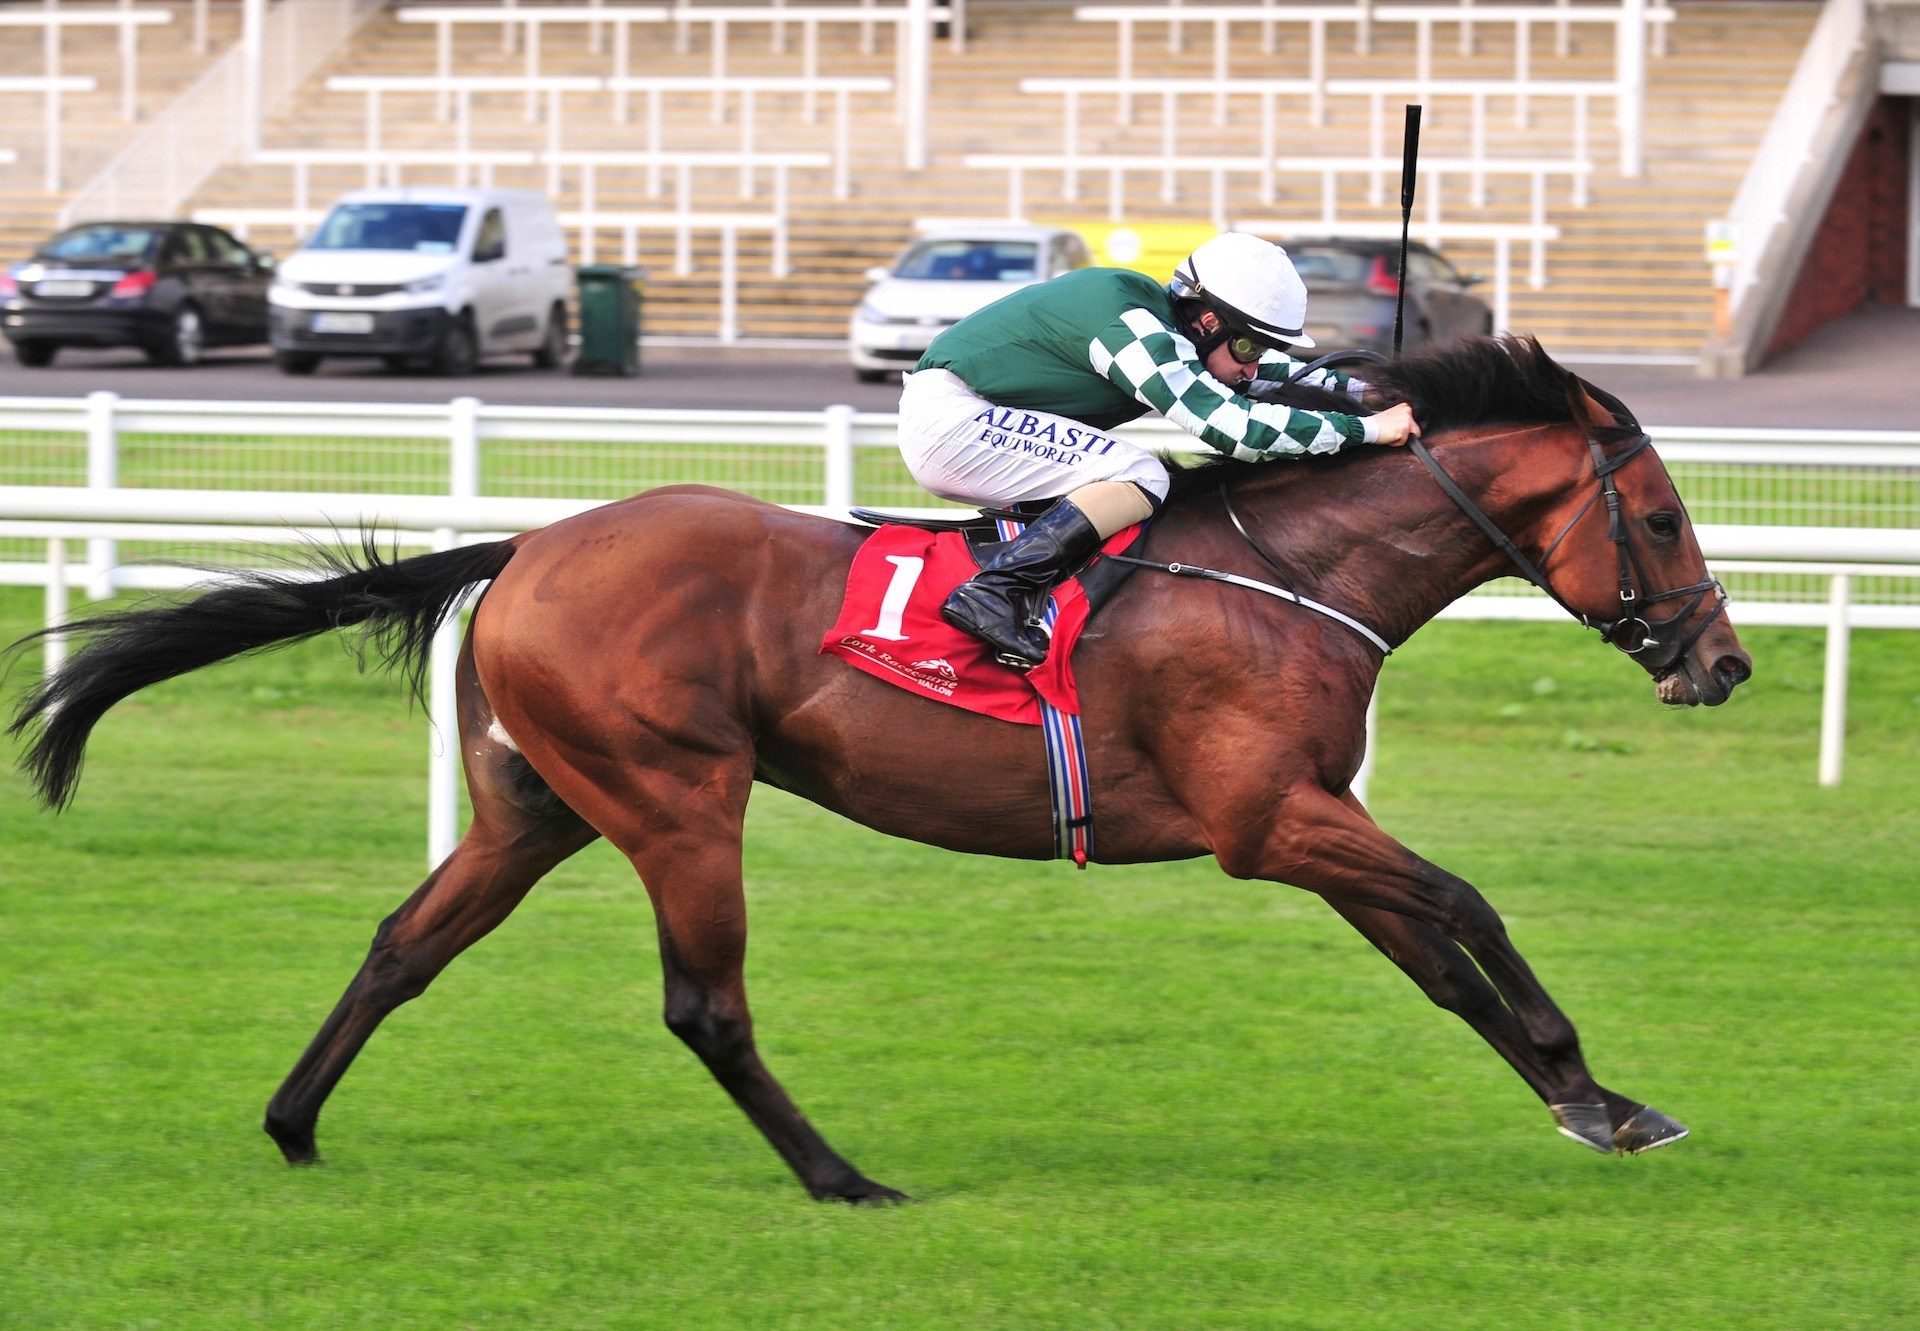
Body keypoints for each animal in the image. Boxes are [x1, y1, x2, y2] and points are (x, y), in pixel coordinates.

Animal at [11, 334, 1758, 1206]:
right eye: (1664, 515)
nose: (1725, 663)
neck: (1287, 573)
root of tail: (528, 547)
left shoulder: (1312, 813)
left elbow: (1444, 962)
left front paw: (1596, 1101)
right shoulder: (1272, 820)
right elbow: (1473, 907)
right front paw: (1591, 1080)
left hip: (537, 806)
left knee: (402, 943)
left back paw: (296, 1124)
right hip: (677, 795)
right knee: (704, 1005)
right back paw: (842, 1176)